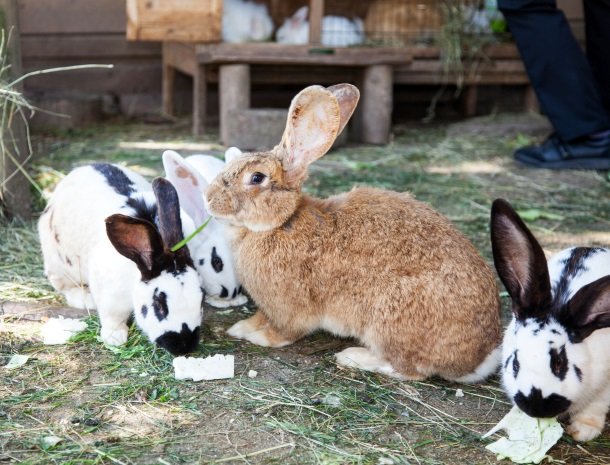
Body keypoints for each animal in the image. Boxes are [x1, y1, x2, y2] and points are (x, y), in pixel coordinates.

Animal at [39, 161, 203, 354]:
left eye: (201, 300)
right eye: (159, 305)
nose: (184, 346)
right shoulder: (110, 297)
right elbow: (112, 317)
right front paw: (115, 338)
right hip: (60, 265)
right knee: (65, 286)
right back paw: (85, 299)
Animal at [207, 83, 502, 380]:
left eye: (256, 178)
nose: (208, 199)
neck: (281, 222)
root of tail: (478, 359)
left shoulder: (287, 307)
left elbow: (284, 332)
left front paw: (257, 337)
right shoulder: (267, 307)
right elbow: (259, 317)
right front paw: (241, 327)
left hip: (390, 322)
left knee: (408, 369)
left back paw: (354, 357)